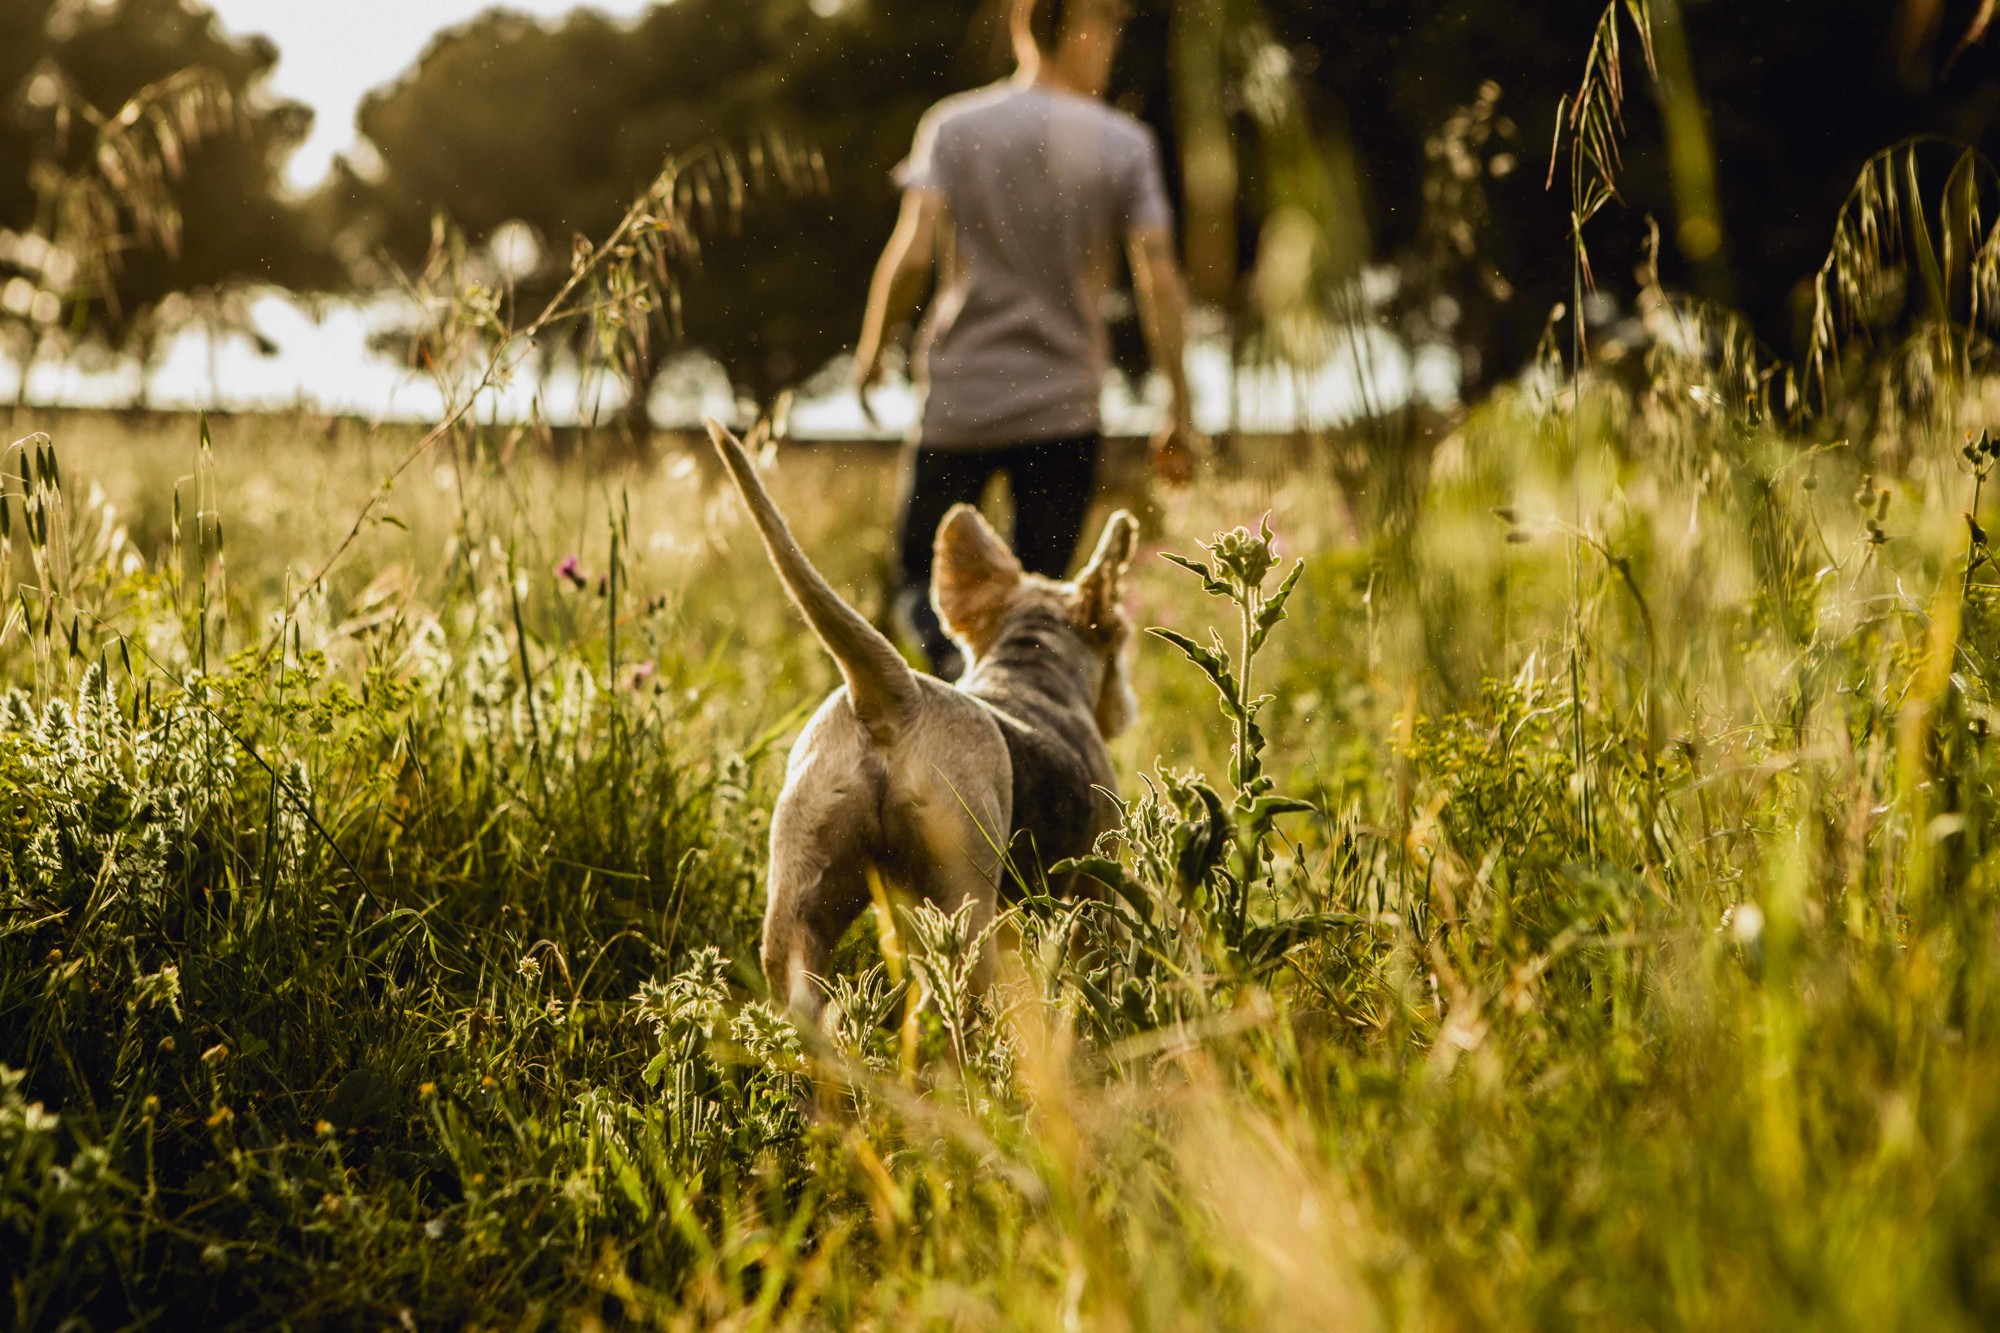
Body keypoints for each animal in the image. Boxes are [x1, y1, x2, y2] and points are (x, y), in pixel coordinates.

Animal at [708, 420, 1144, 1012]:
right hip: (958, 901)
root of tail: (897, 700)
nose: (1125, 711)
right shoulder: (1095, 890)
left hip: (801, 899)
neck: (1031, 665)